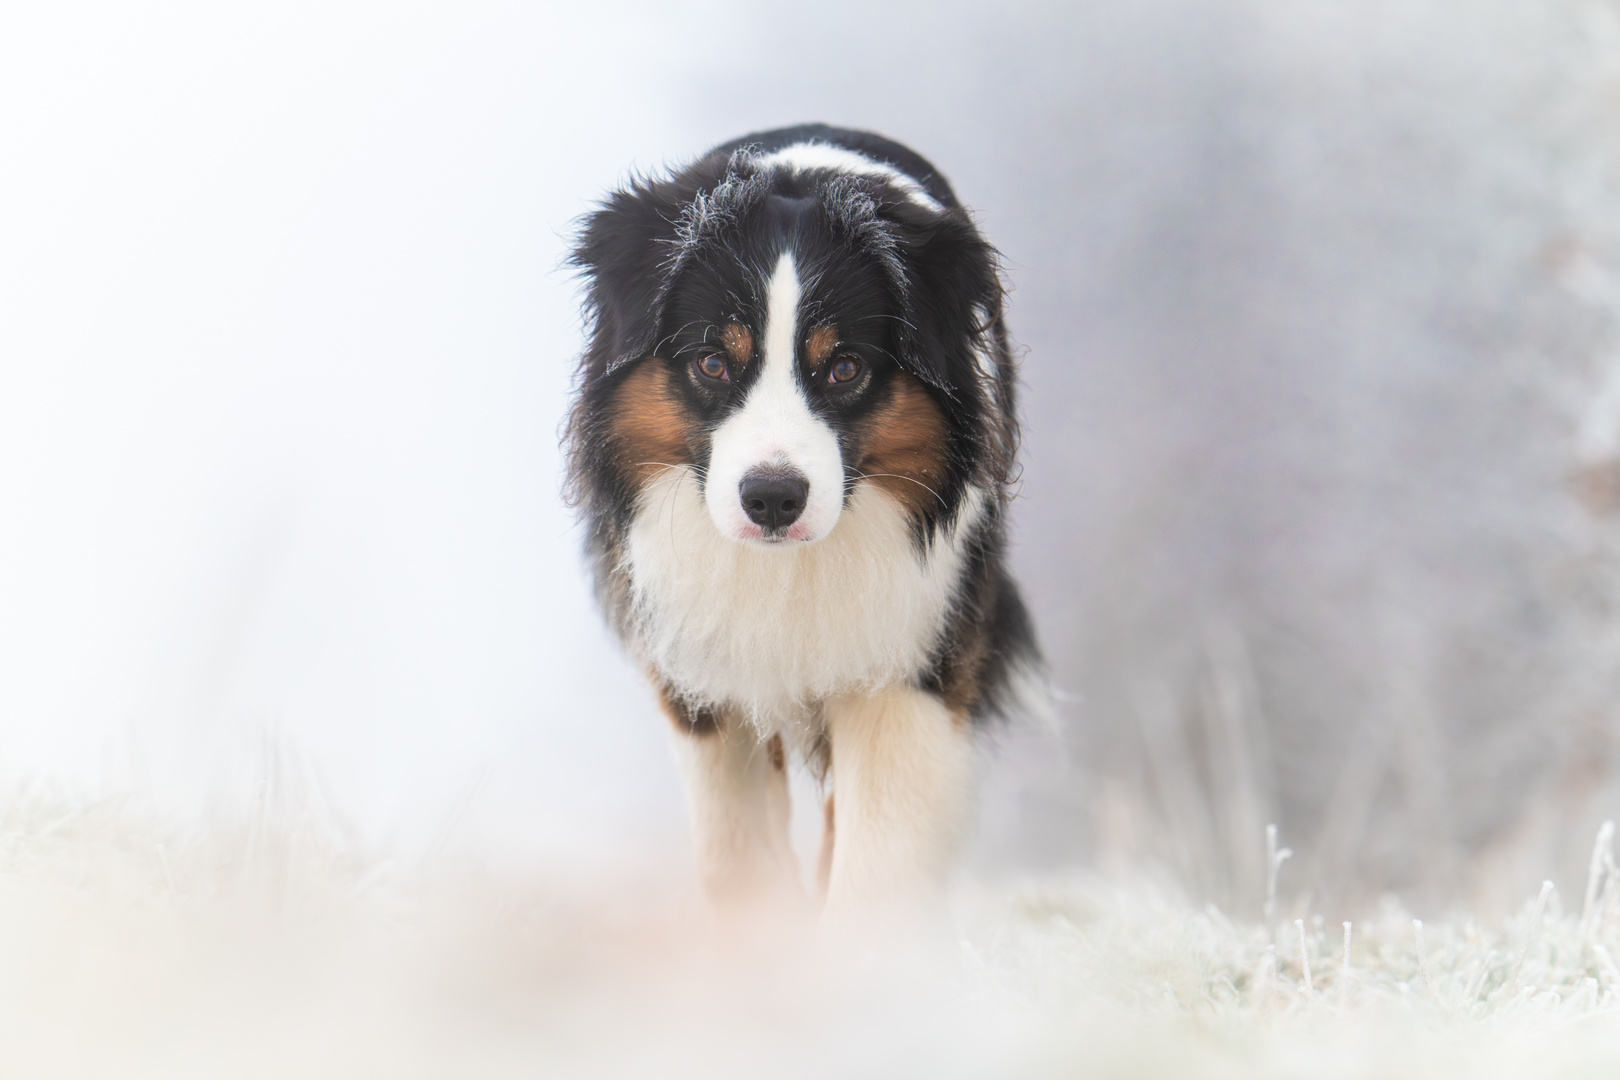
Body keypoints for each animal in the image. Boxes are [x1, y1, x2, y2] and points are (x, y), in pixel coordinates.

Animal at [563, 124, 1036, 919]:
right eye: (713, 362)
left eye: (844, 368)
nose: (773, 498)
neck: (790, 567)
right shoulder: (700, 670)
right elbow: (736, 857)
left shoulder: (910, 662)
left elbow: (874, 871)